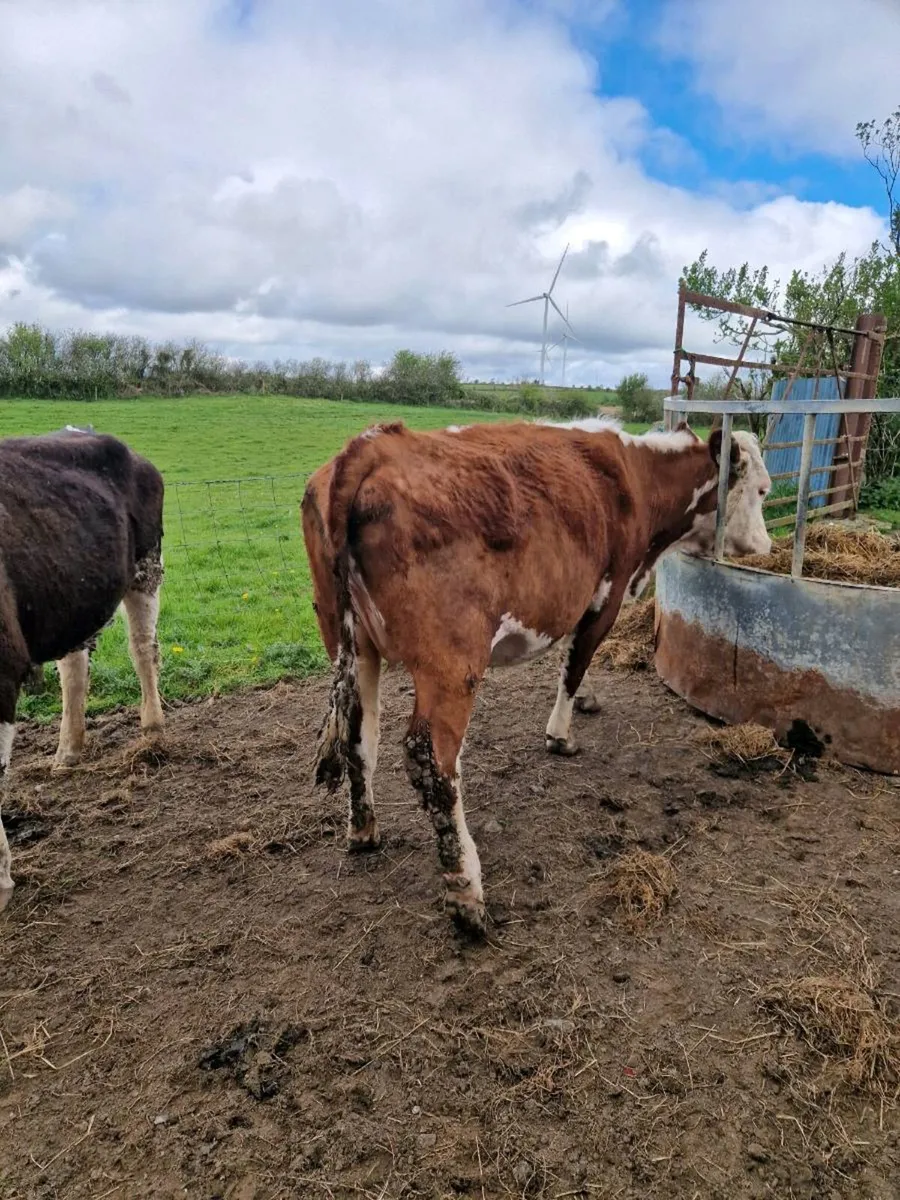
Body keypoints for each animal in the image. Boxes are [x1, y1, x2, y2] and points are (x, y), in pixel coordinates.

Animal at [302, 417, 771, 936]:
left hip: (352, 642)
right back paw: (466, 890)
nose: (769, 548)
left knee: (359, 738)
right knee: (432, 759)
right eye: (764, 490)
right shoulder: (604, 597)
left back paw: (363, 830)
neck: (639, 475)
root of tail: (371, 445)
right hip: (450, 663)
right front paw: (560, 735)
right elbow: (575, 663)